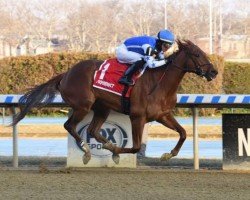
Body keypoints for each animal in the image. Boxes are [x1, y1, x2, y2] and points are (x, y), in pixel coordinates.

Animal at [12, 39, 218, 164]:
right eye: (197, 54)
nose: (214, 72)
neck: (159, 83)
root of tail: (66, 73)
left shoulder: (162, 115)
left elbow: (183, 133)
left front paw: (169, 154)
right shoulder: (137, 117)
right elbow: (135, 147)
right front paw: (117, 151)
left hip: (102, 108)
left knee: (93, 130)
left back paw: (105, 148)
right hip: (83, 105)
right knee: (70, 126)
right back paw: (87, 151)